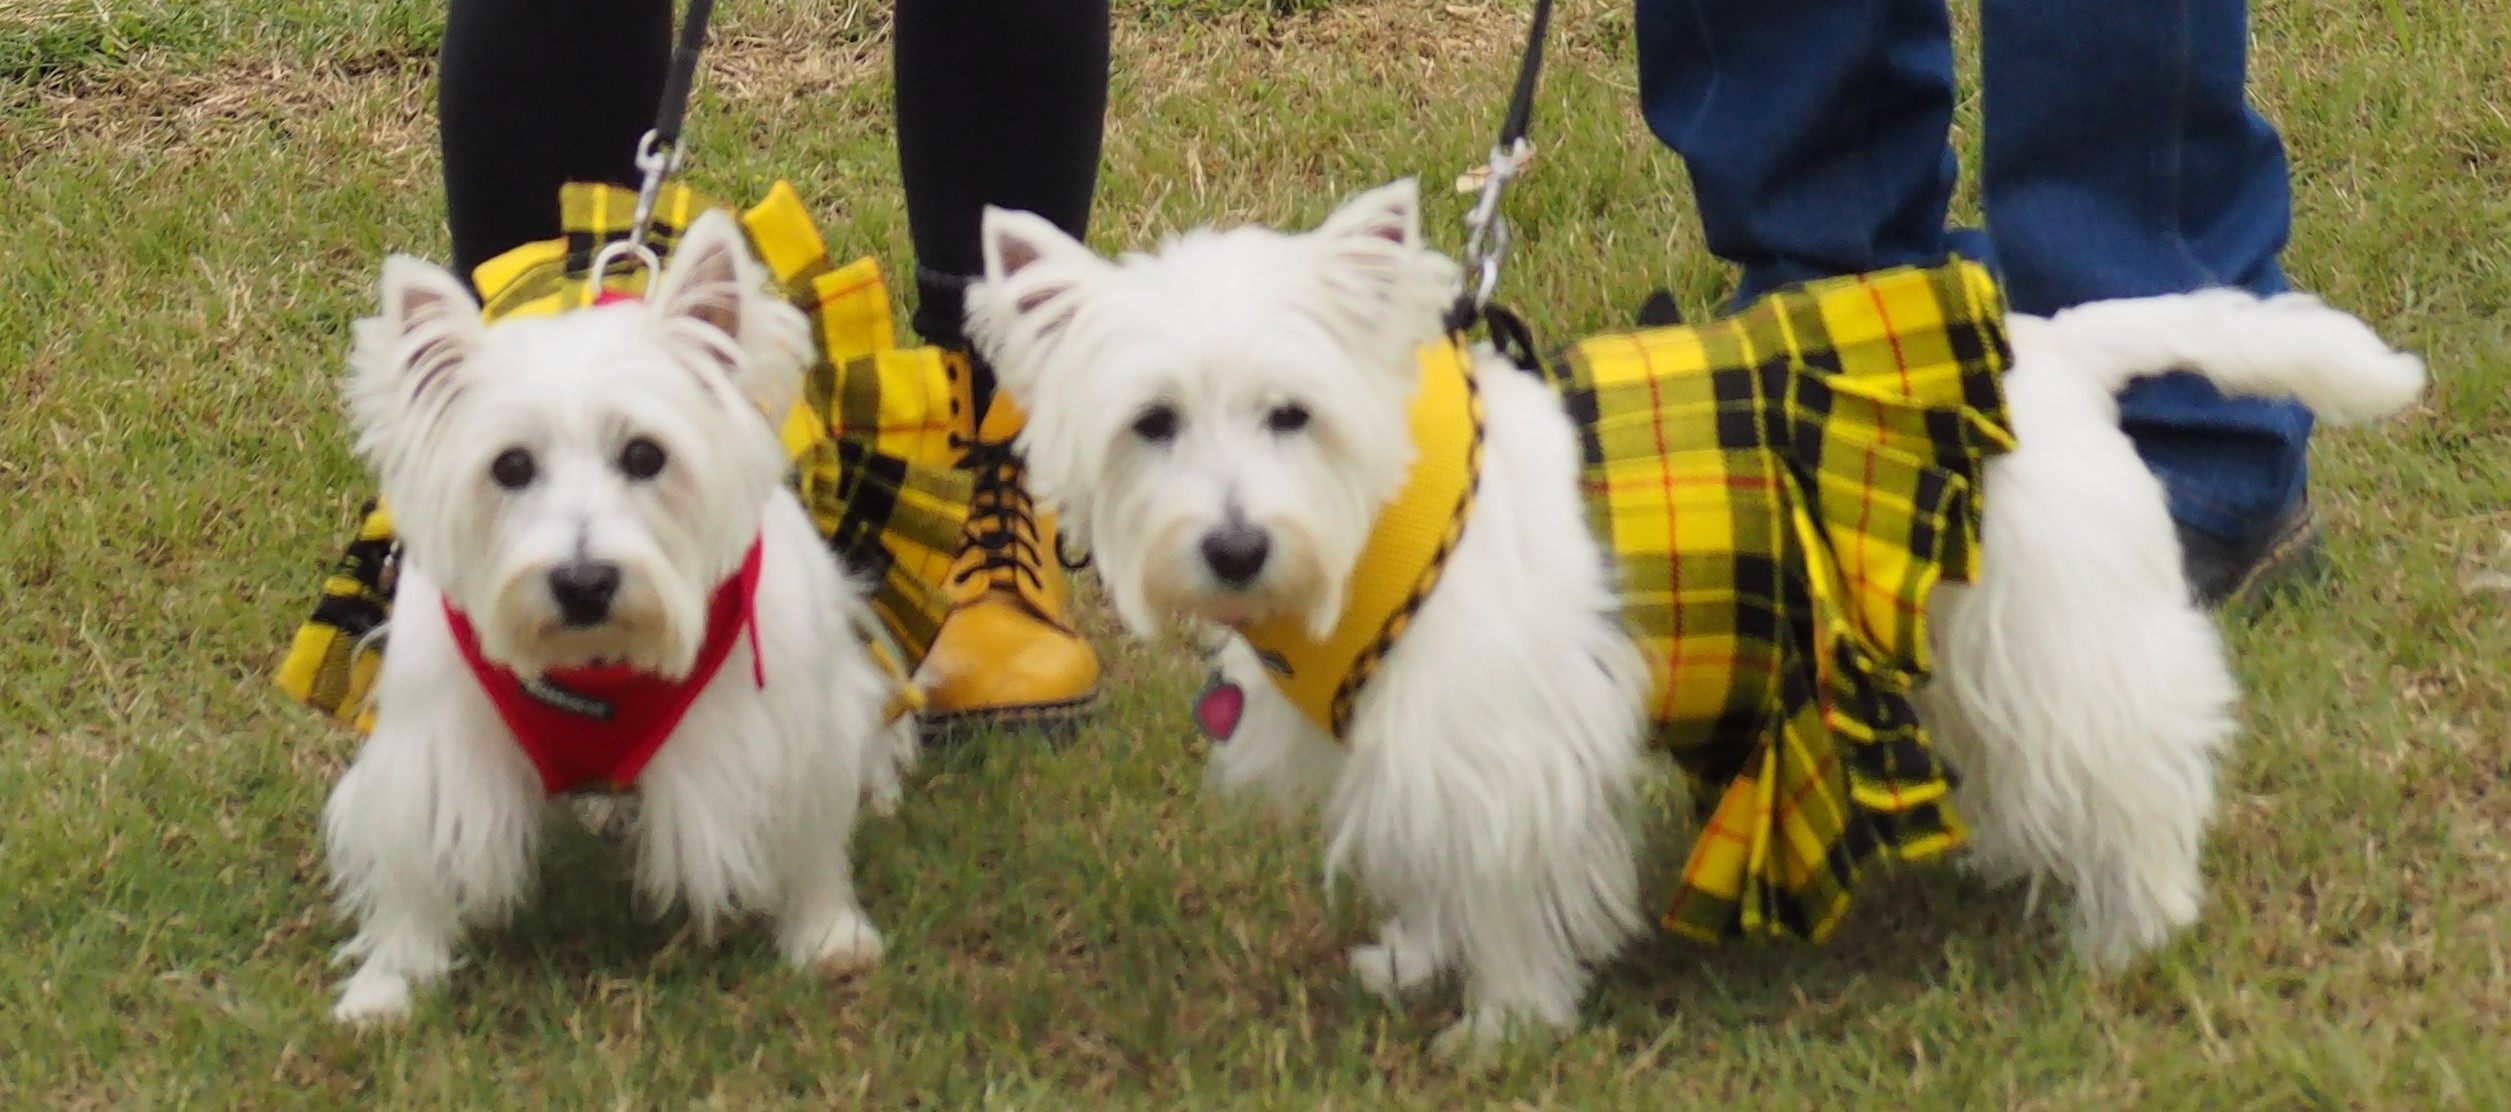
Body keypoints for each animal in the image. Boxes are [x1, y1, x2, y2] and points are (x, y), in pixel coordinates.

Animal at [323, 208, 908, 1029]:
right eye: (510, 466)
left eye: (644, 455)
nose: (583, 584)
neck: (596, 666)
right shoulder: (436, 746)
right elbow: (413, 864)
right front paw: (388, 983)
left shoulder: (786, 733)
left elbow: (810, 838)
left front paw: (828, 936)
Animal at [964, 180, 2430, 1054]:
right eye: (1151, 422)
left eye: (1289, 412)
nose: (1231, 546)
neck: (1380, 521)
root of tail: (2056, 350)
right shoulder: (1407, 742)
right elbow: (1429, 862)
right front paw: (1413, 960)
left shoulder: (1502, 746)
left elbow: (1504, 886)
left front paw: (1502, 1028)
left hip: (2050, 636)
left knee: (2136, 760)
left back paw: (2130, 933)